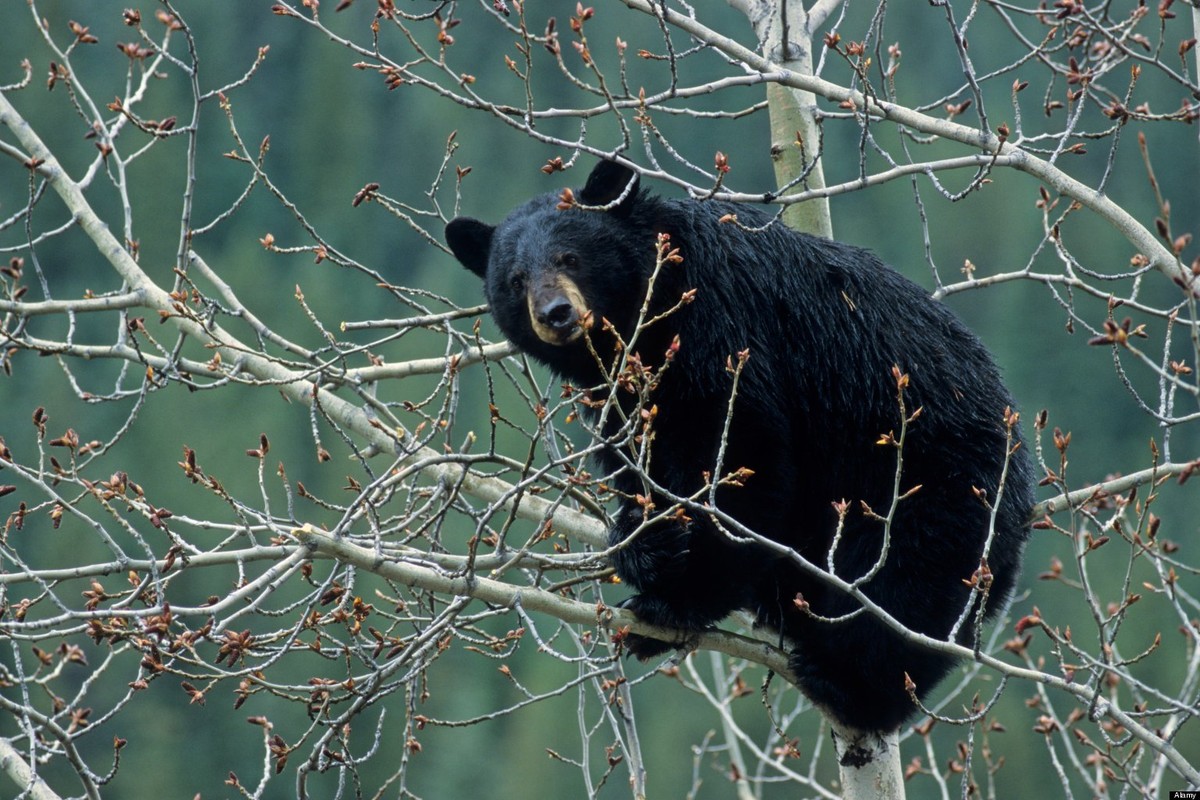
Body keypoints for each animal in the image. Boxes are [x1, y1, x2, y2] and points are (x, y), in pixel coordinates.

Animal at [446, 159, 1036, 734]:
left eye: (570, 256)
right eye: (514, 278)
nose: (555, 313)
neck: (652, 308)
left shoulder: (724, 331)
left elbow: (743, 459)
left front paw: (678, 599)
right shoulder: (623, 394)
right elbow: (639, 464)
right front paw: (646, 544)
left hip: (933, 479)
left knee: (911, 587)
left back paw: (850, 686)